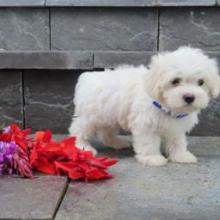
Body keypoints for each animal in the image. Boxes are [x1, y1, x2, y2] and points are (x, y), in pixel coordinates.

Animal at [69, 46, 220, 167]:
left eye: (201, 82)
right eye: (175, 81)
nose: (189, 97)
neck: (165, 105)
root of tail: (88, 77)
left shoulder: (176, 127)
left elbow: (178, 141)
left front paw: (181, 155)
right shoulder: (146, 124)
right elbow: (149, 142)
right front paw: (153, 158)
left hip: (109, 113)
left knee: (106, 131)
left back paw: (116, 143)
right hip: (90, 115)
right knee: (79, 130)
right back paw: (82, 147)